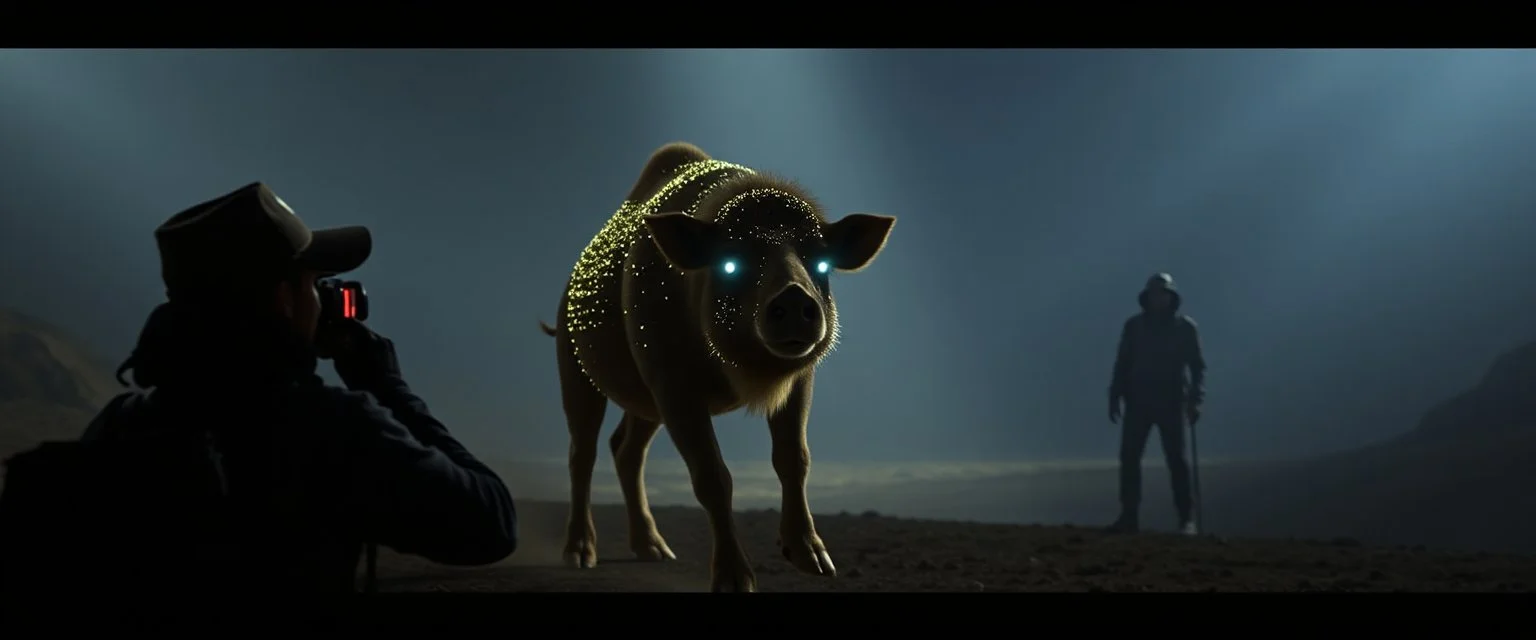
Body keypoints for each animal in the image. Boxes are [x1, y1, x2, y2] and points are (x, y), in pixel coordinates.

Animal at [539, 142, 896, 592]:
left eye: (820, 262)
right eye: (731, 261)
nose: (794, 297)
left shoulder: (799, 380)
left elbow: (794, 457)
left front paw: (816, 563)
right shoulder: (673, 384)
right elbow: (712, 476)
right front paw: (735, 580)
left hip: (645, 402)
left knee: (626, 449)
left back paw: (655, 550)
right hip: (575, 369)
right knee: (582, 453)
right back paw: (580, 555)